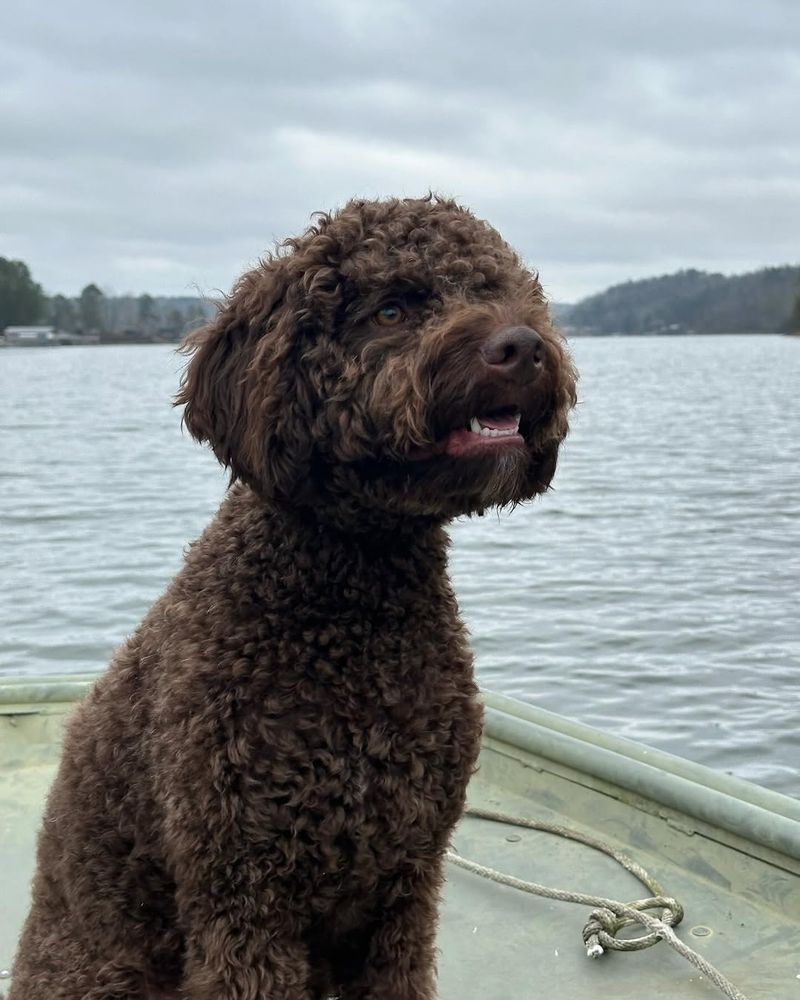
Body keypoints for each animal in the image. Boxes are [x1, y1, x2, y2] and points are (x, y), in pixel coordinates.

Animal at [12, 197, 576, 1000]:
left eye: (504, 292)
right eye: (393, 308)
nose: (523, 346)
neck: (353, 607)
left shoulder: (403, 889)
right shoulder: (246, 898)